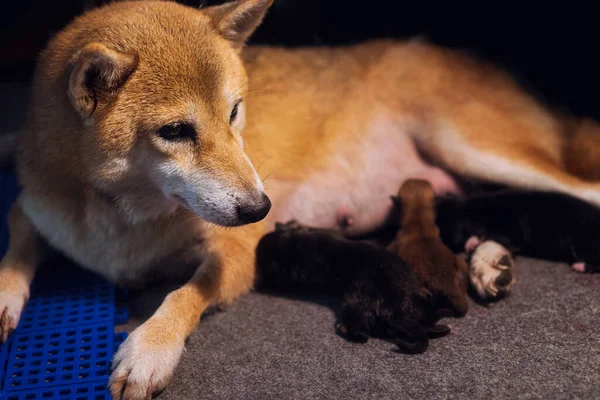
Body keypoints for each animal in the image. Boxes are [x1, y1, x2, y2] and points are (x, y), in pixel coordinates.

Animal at [254, 220, 450, 354]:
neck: (296, 246)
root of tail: (395, 309)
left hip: (354, 305)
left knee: (362, 334)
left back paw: (344, 328)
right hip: (416, 305)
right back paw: (441, 326)